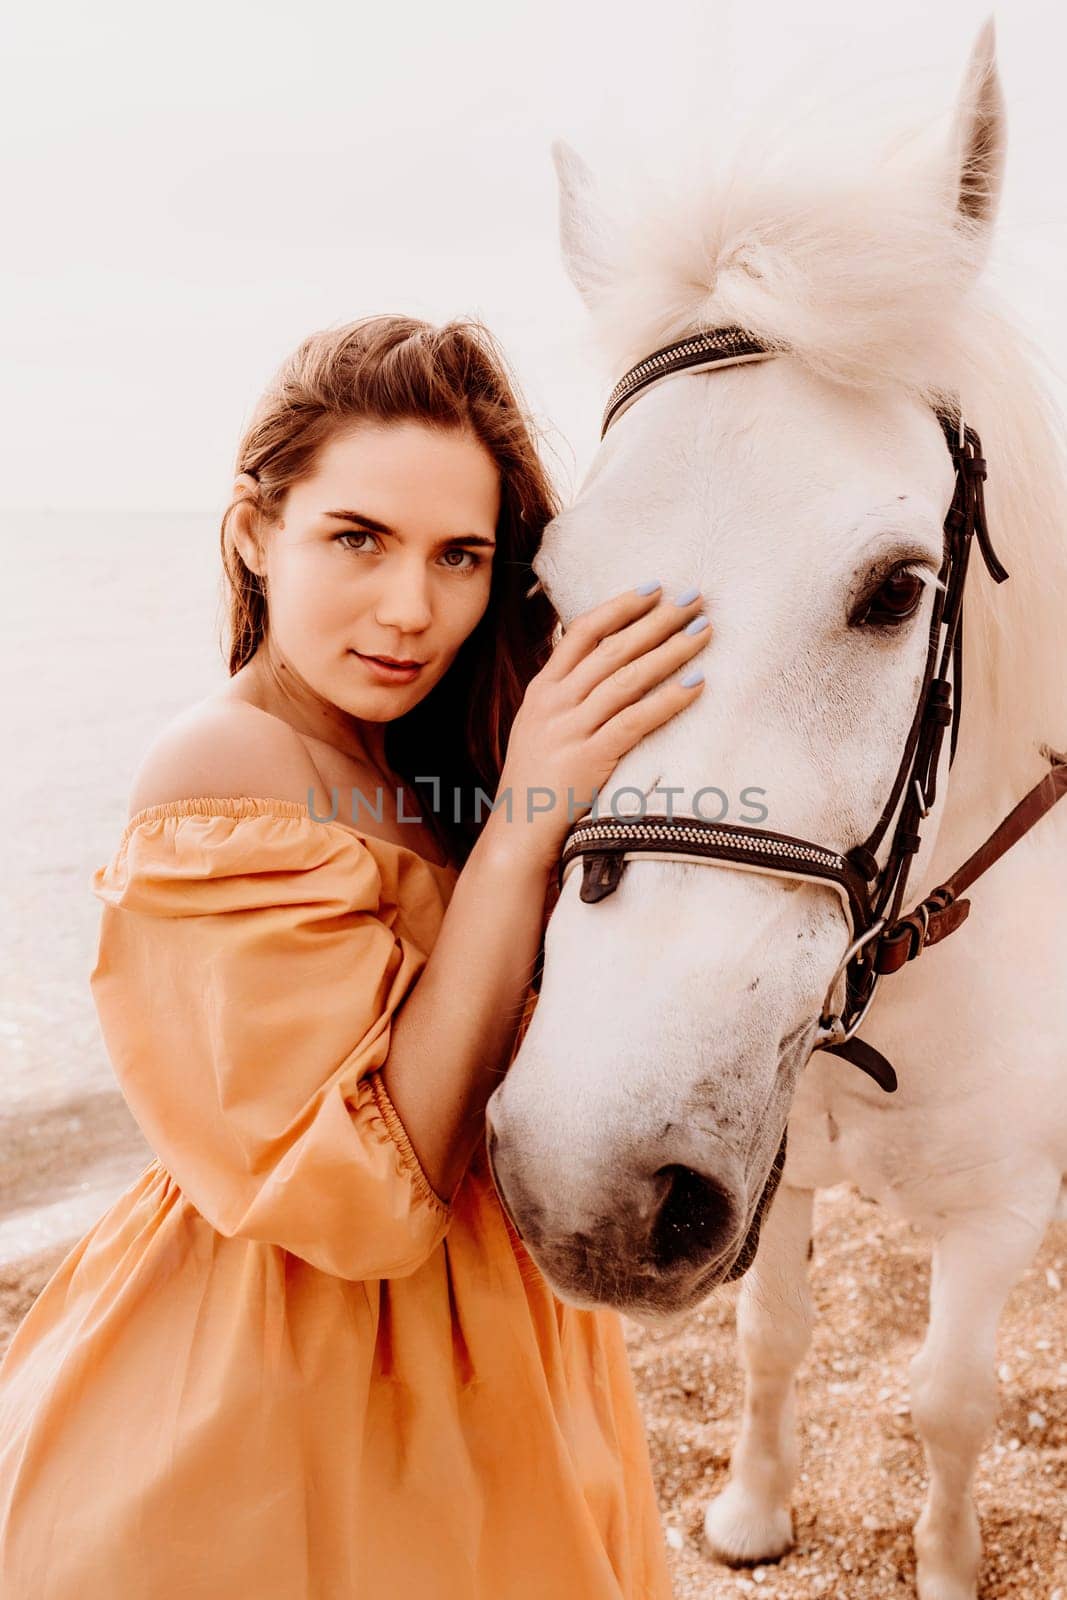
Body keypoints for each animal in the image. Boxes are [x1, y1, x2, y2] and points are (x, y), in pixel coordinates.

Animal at [486, 21, 1067, 1600]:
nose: (582, 1181)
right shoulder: (772, 1166)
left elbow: (947, 1399)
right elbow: (771, 1335)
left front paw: (942, 1564)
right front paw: (751, 1512)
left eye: (896, 589)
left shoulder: (999, 1214)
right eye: (549, 597)